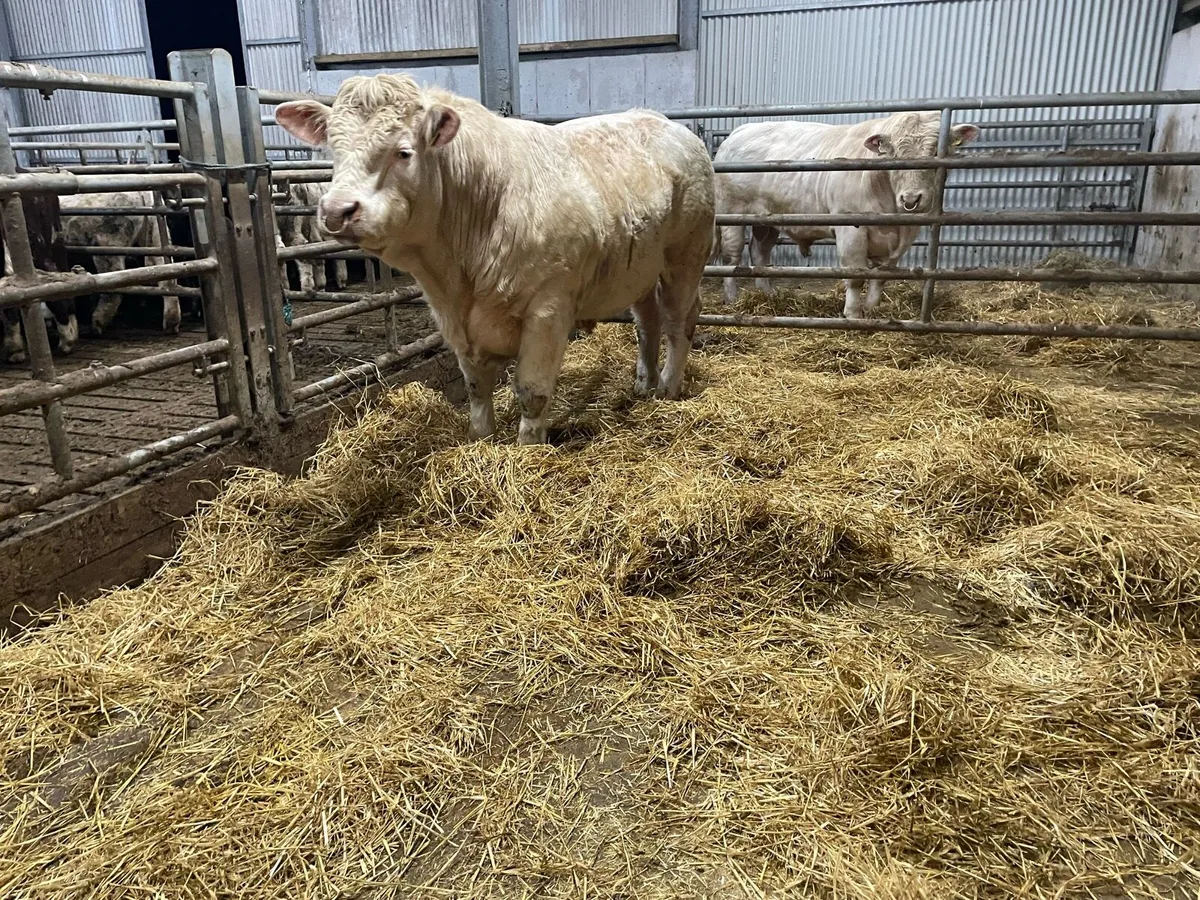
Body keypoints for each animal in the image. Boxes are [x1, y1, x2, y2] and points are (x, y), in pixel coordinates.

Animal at [59, 191, 182, 336]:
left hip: (108, 242)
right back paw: (171, 326)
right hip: (156, 234)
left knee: (113, 286)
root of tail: (145, 193)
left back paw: (96, 327)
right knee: (167, 275)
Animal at [275, 74, 714, 444]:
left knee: (680, 320)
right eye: (333, 150)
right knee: (647, 322)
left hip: (686, 255)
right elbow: (476, 388)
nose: (337, 210)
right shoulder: (452, 319)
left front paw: (526, 453)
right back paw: (644, 384)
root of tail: (663, 121)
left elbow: (532, 392)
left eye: (403, 152)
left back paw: (668, 388)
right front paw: (480, 441)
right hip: (640, 267)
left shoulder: (548, 310)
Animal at [715, 111, 980, 318]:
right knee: (731, 257)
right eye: (893, 153)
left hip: (767, 219)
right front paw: (853, 314)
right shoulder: (851, 230)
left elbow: (880, 277)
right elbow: (855, 276)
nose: (911, 199)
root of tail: (740, 131)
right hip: (732, 212)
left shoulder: (903, 238)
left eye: (937, 151)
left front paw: (872, 309)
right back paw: (732, 299)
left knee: (759, 252)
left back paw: (766, 294)